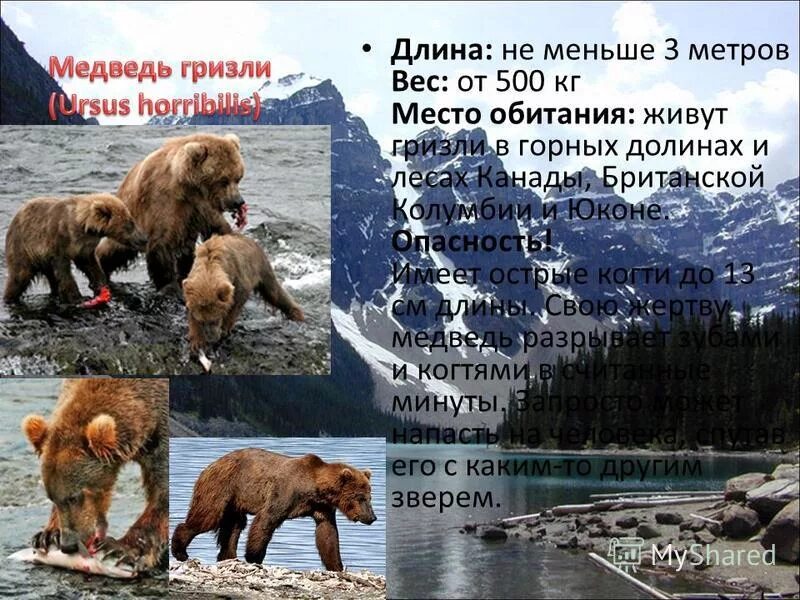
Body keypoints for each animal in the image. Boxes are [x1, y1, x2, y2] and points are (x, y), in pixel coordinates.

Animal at [4, 193, 147, 305]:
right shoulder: (58, 242)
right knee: (19, 276)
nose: (144, 238)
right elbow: (64, 271)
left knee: (51, 277)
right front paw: (76, 297)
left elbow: (90, 265)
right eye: (129, 224)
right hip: (23, 248)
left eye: (132, 220)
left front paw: (100, 285)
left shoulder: (83, 247)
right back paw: (9, 298)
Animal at [21, 378, 169, 573]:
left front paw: (119, 549)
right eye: (51, 497)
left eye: (74, 497)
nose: (68, 545)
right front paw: (48, 535)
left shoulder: (161, 436)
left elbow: (162, 493)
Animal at [95, 133, 248, 293]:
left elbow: (218, 229)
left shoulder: (202, 208)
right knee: (113, 251)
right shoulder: (164, 203)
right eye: (223, 180)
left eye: (238, 178)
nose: (238, 201)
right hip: (130, 222)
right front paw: (170, 286)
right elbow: (161, 243)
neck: (188, 187)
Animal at [171, 449, 376, 571]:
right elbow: (265, 521)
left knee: (234, 526)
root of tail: (210, 465)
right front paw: (254, 557)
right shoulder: (285, 493)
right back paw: (180, 551)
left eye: (369, 497)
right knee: (207, 517)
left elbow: (327, 534)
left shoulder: (322, 508)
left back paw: (228, 556)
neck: (314, 487)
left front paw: (337, 566)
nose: (372, 517)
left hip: (236, 501)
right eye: (360, 497)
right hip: (222, 487)